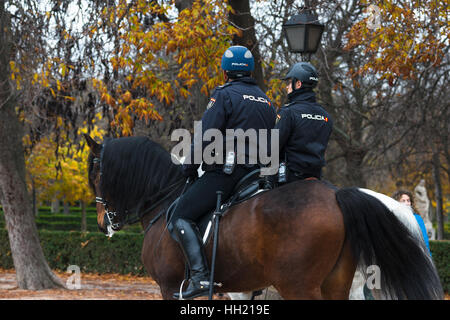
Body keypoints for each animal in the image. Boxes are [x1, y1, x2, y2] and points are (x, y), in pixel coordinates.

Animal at [84, 135, 442, 300]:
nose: (104, 222)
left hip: (299, 286)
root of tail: (336, 194)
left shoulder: (171, 287)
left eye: (95, 174)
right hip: (335, 284)